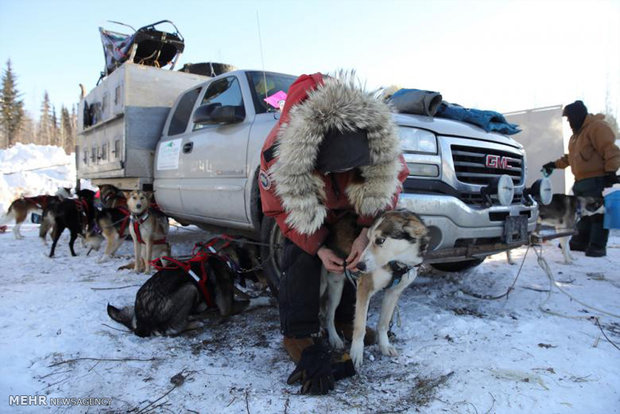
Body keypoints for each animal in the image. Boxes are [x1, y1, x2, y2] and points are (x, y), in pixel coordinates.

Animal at [320, 210, 432, 368]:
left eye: (380, 240)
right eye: (368, 239)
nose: (359, 266)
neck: (398, 264)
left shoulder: (393, 293)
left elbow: (384, 324)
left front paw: (384, 346)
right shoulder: (364, 289)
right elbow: (360, 327)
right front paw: (356, 353)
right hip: (330, 286)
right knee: (329, 315)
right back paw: (334, 338)